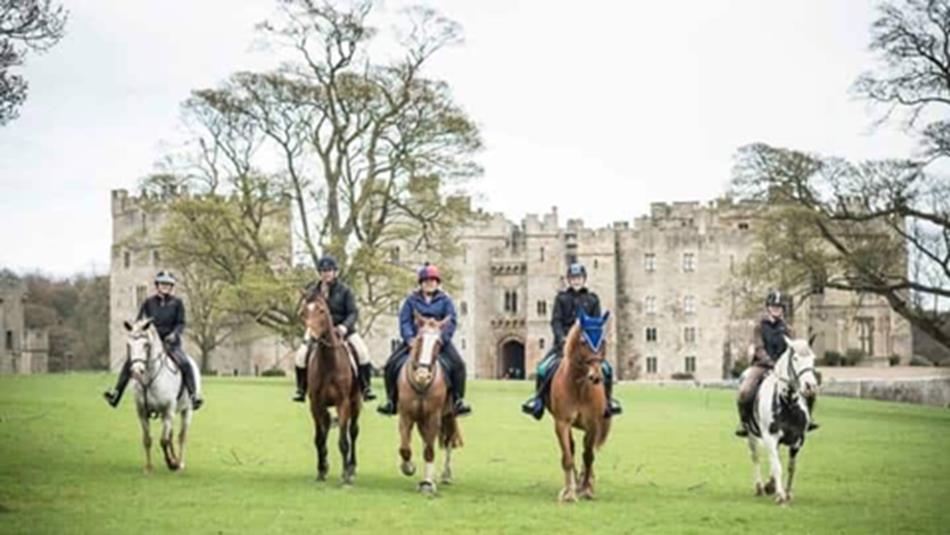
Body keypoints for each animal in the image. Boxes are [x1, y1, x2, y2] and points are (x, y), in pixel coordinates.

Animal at [123, 318, 199, 473]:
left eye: (146, 345)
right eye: (129, 344)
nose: (136, 371)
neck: (150, 379)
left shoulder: (168, 410)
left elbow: (163, 440)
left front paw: (172, 464)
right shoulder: (142, 413)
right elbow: (148, 439)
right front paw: (148, 467)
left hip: (186, 411)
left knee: (181, 436)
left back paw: (179, 463)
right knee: (171, 435)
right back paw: (175, 459)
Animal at [301, 294, 361, 485]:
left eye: (322, 310)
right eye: (305, 310)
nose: (311, 338)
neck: (329, 362)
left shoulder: (343, 403)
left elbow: (343, 441)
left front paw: (345, 476)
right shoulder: (316, 405)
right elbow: (319, 439)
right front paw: (321, 470)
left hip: (355, 404)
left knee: (353, 432)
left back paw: (352, 467)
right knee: (327, 426)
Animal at [396, 313, 463, 496]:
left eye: (438, 343)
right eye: (419, 338)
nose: (422, 375)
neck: (421, 386)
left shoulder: (433, 417)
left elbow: (430, 451)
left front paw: (427, 483)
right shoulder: (406, 416)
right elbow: (405, 448)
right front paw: (408, 467)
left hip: (448, 416)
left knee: (447, 441)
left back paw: (446, 475)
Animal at [547, 310, 612, 503]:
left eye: (603, 340)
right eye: (583, 341)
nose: (596, 377)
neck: (579, 388)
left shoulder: (593, 424)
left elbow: (589, 456)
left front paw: (586, 489)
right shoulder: (561, 423)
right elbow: (568, 457)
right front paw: (570, 492)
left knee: (587, 452)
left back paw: (587, 481)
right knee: (574, 448)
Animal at [741, 336, 819, 505]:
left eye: (813, 358)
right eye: (795, 358)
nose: (810, 386)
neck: (787, 402)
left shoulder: (798, 440)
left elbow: (791, 467)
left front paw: (787, 493)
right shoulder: (770, 437)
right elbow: (777, 466)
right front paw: (780, 495)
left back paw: (770, 485)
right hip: (751, 435)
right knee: (756, 457)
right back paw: (760, 487)